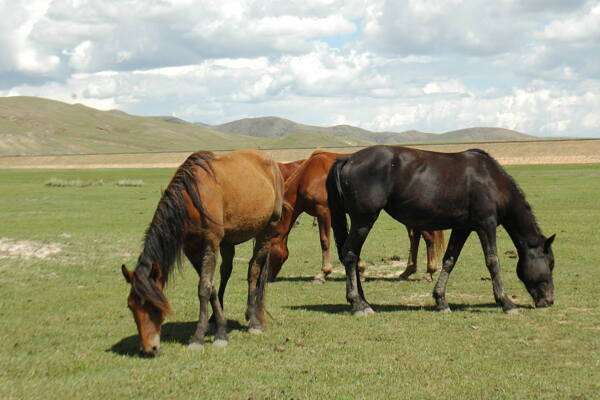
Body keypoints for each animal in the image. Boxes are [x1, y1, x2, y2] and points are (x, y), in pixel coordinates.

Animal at [121, 150, 284, 356]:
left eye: (155, 306)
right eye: (130, 306)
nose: (149, 348)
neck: (193, 198)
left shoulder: (210, 243)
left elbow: (204, 288)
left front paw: (200, 337)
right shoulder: (191, 249)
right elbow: (210, 286)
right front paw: (220, 327)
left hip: (266, 231)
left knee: (253, 270)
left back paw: (253, 320)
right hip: (229, 240)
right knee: (226, 272)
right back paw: (220, 316)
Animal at [270, 148, 442, 282]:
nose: (268, 278)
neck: (308, 176)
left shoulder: (323, 211)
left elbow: (325, 241)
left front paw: (323, 273)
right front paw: (359, 268)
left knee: (428, 238)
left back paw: (429, 272)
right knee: (415, 237)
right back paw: (408, 271)